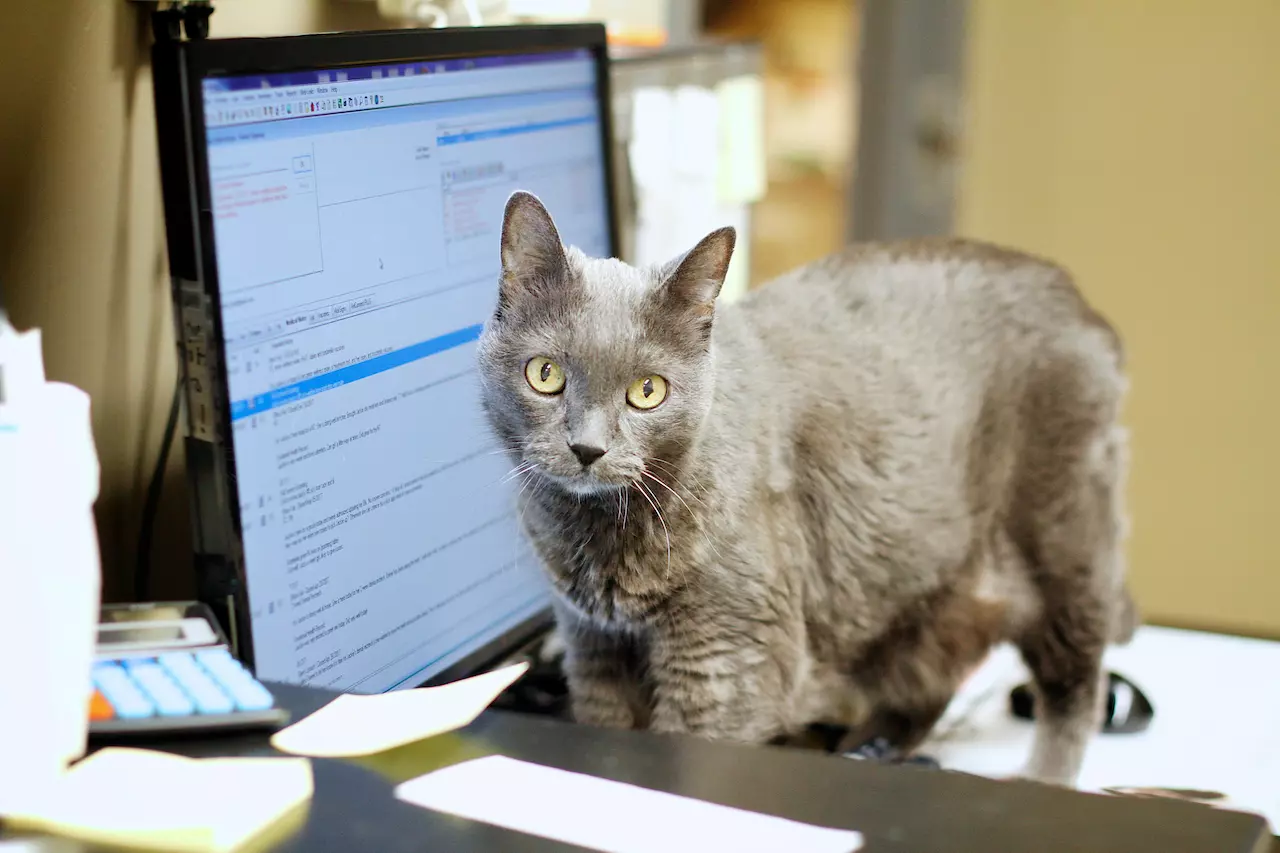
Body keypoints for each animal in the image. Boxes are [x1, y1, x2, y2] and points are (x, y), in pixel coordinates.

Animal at [478, 190, 1131, 783]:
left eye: (647, 391)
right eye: (546, 375)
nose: (588, 448)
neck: (599, 538)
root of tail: (1073, 294)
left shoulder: (727, 661)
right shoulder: (592, 649)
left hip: (1066, 544)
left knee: (1076, 688)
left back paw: (1039, 780)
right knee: (926, 683)